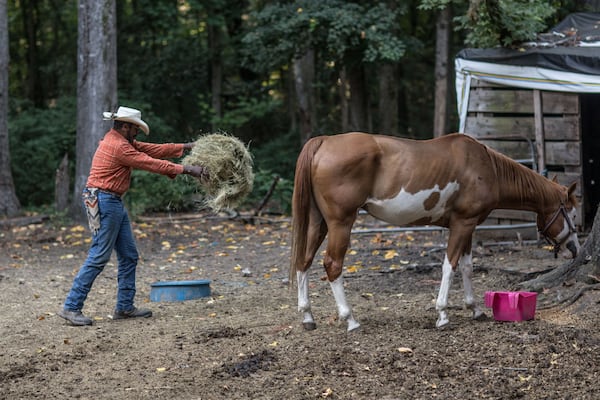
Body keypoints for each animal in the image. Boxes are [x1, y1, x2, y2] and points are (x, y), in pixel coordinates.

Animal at [290, 132, 580, 332]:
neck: (486, 168)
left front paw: (475, 309)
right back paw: (350, 319)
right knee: (332, 264)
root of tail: (324, 142)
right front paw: (442, 314)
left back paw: (307, 316)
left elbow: (467, 267)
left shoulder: (468, 226)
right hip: (341, 223)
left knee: (304, 261)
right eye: (573, 214)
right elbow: (449, 266)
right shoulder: (462, 224)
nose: (575, 249)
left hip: (319, 223)